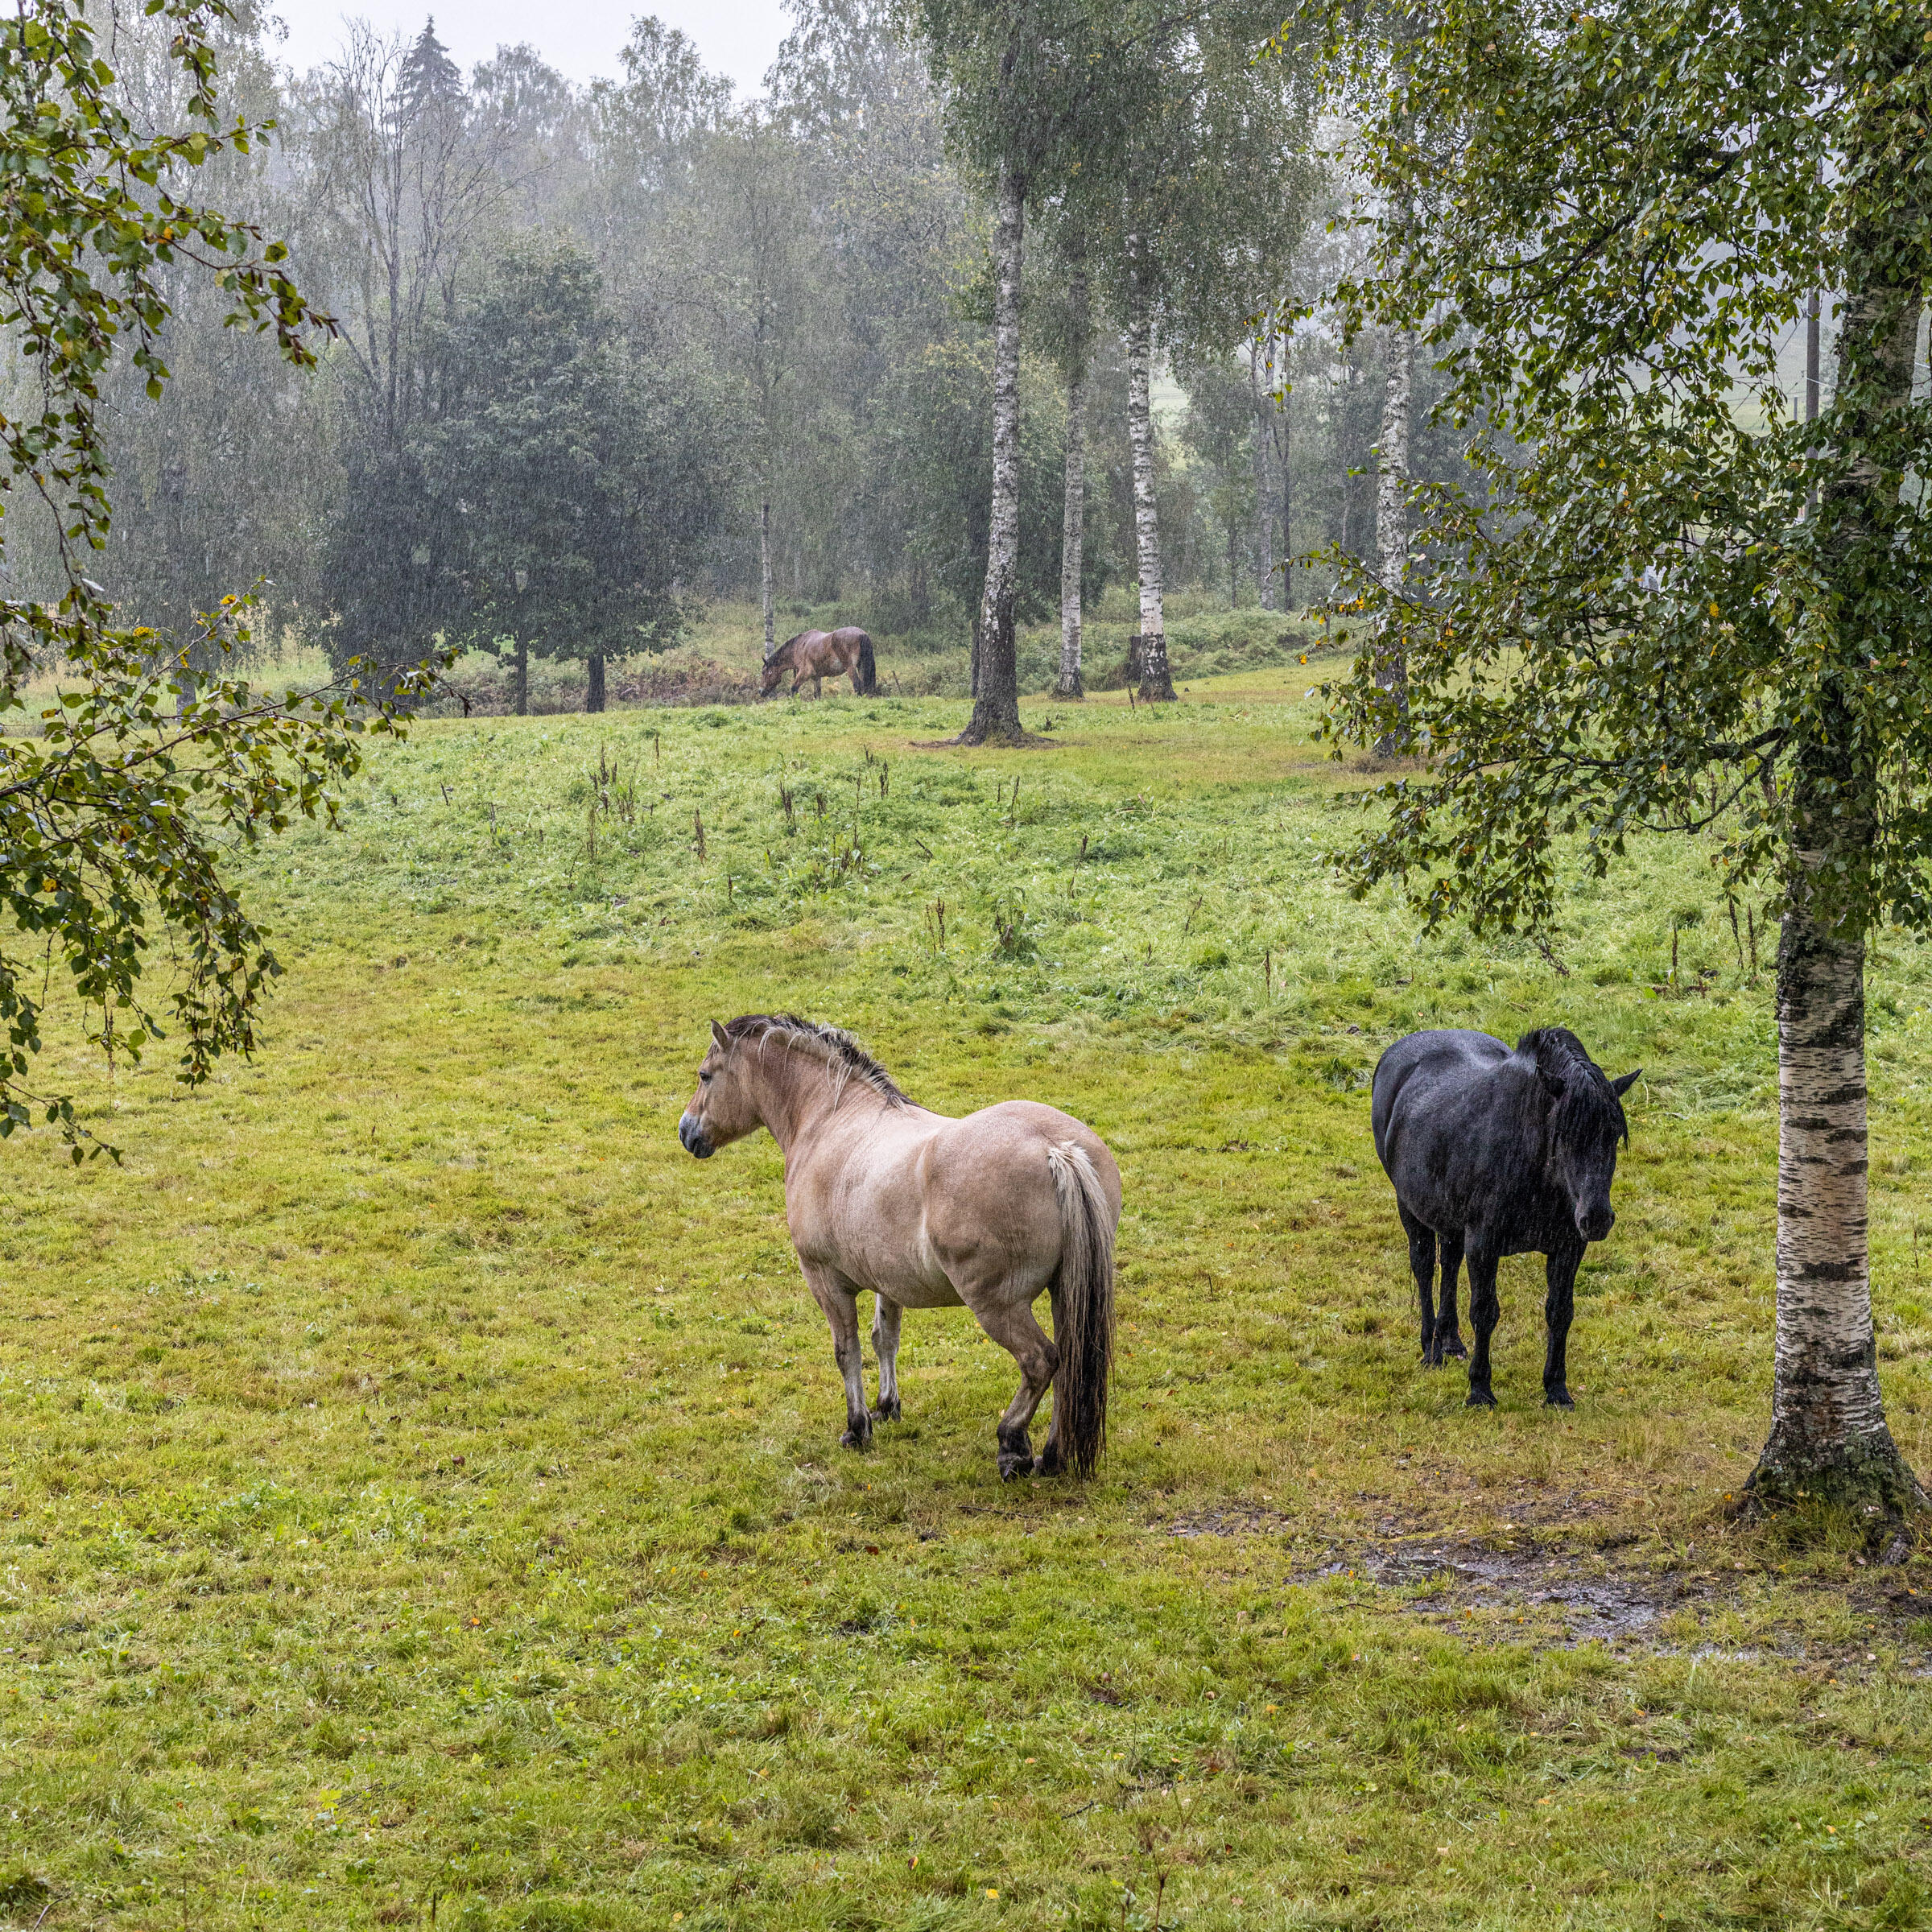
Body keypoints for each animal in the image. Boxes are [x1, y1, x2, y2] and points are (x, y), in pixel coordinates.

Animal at [677, 1014, 1118, 1479]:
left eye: (705, 1076)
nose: (686, 1131)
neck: (831, 1119)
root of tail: (1056, 1148)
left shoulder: (825, 1280)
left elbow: (847, 1351)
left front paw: (858, 1428)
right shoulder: (887, 1279)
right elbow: (883, 1338)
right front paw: (887, 1407)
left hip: (998, 1306)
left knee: (1040, 1362)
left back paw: (1012, 1446)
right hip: (1065, 1293)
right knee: (1069, 1361)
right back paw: (1052, 1456)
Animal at [760, 626, 878, 698]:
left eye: (767, 672)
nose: (760, 691)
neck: (798, 647)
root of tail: (862, 634)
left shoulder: (805, 673)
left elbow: (794, 689)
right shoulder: (816, 677)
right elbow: (817, 694)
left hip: (851, 668)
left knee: (857, 684)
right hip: (861, 666)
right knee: (863, 684)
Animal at [1370, 1027, 1640, 1409]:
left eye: (1614, 1135)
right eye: (1564, 1135)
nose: (1597, 1218)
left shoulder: (1568, 1248)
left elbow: (1560, 1312)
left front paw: (1557, 1390)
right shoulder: (1483, 1245)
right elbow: (1485, 1312)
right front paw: (1480, 1390)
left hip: (1451, 1222)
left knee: (1449, 1263)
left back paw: (1450, 1342)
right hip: (1410, 1209)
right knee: (1423, 1269)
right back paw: (1431, 1351)